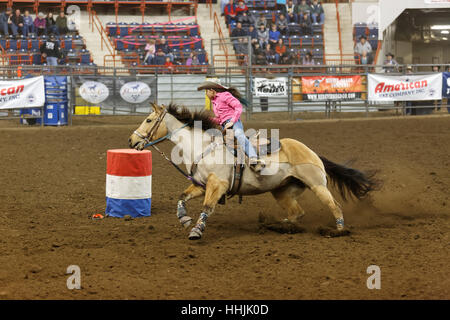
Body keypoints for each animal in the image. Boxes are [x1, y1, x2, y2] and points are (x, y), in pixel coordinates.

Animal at [128, 102, 378, 240]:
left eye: (148, 120)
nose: (131, 141)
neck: (203, 148)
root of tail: (311, 151)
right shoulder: (201, 185)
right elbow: (182, 197)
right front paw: (184, 219)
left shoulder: (217, 186)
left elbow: (207, 208)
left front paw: (196, 232)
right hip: (282, 191)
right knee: (297, 213)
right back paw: (277, 225)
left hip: (317, 184)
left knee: (334, 206)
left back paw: (338, 231)